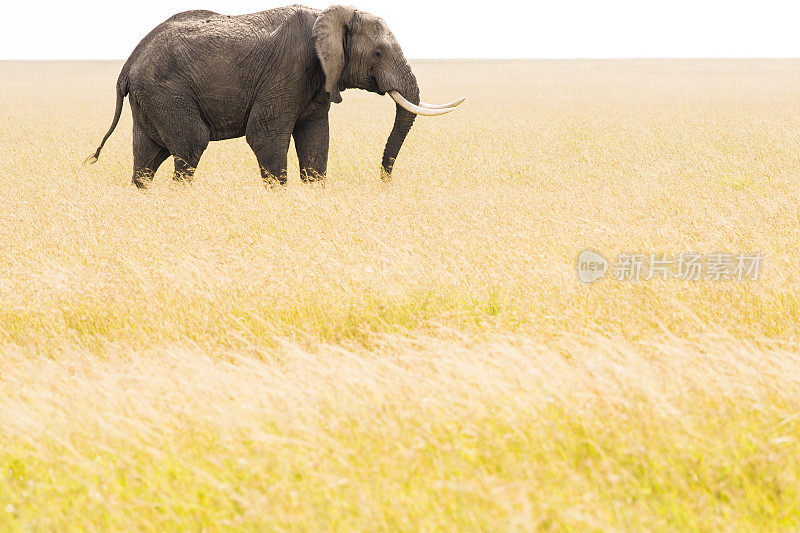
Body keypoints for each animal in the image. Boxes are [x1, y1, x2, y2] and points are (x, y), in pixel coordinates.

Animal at [86, 4, 462, 186]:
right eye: (379, 53)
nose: (384, 181)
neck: (330, 14)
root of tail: (128, 63)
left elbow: (315, 140)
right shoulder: (288, 69)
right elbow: (265, 136)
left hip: (151, 97)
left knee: (147, 158)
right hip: (167, 91)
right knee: (190, 146)